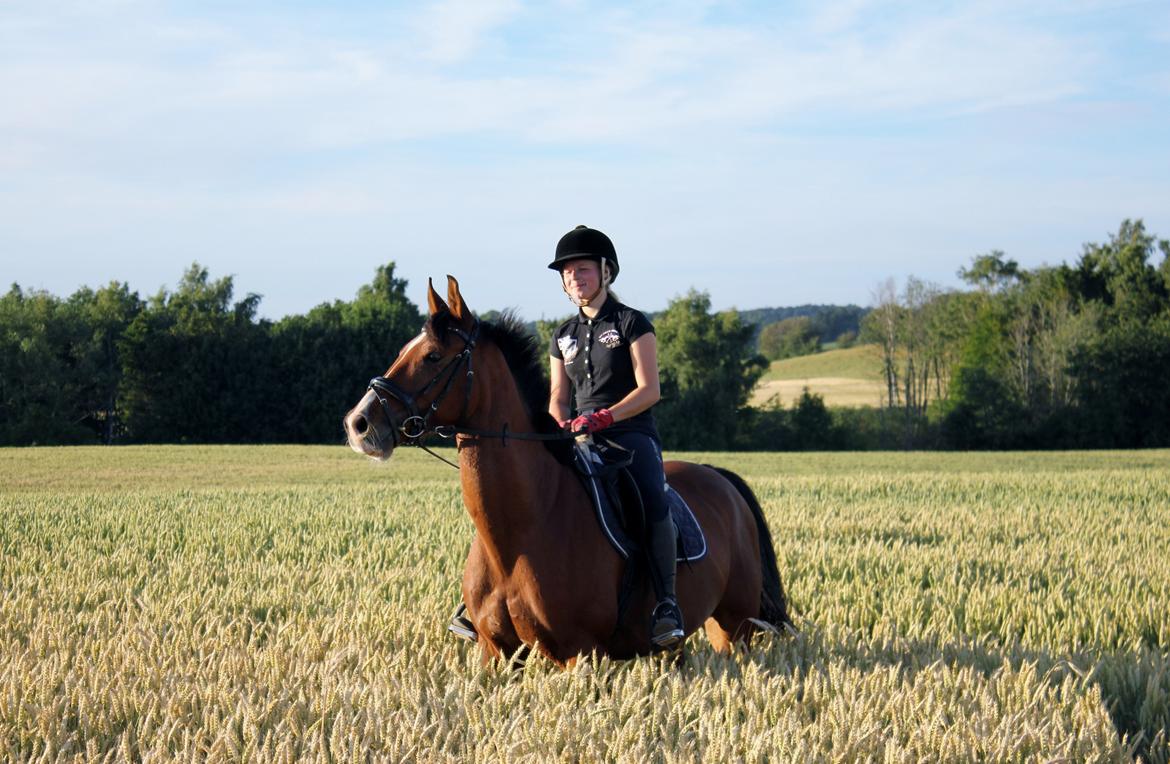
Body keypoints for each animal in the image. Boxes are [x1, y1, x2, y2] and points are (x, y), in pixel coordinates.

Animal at [341, 276, 790, 669]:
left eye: (433, 356)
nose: (358, 424)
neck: (522, 529)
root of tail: (719, 478)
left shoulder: (581, 654)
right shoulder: (495, 652)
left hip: (735, 628)